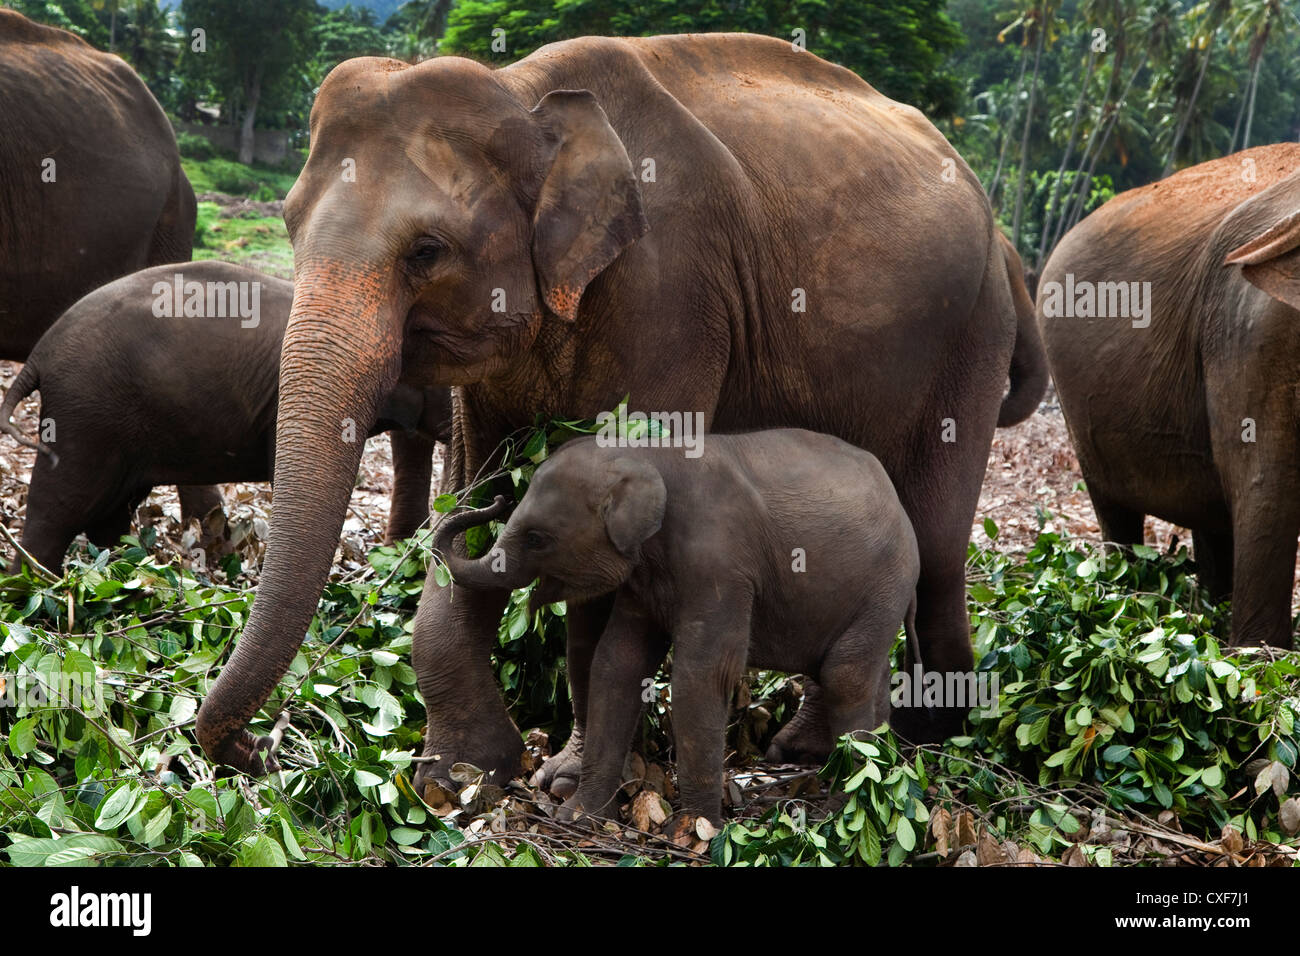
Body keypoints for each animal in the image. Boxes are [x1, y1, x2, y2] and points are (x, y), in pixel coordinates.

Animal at [432, 430, 920, 824]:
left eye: (537, 539)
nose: (493, 498)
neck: (647, 455)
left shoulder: (721, 566)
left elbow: (700, 676)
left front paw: (696, 830)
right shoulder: (643, 582)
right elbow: (617, 664)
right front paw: (579, 817)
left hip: (886, 585)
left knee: (845, 675)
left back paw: (846, 809)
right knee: (866, 674)